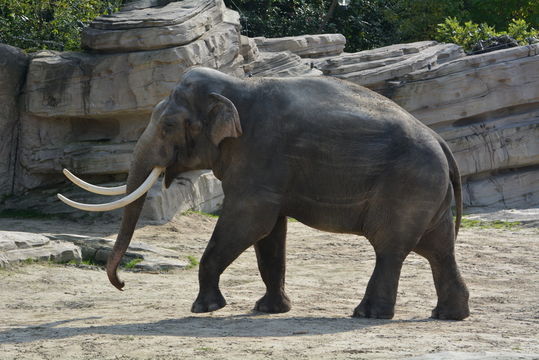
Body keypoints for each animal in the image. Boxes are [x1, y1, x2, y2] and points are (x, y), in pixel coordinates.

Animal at [59, 66, 470, 320]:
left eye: (169, 126)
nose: (122, 284)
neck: (236, 85)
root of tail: (441, 141)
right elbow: (269, 233)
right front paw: (269, 309)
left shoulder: (259, 154)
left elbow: (249, 221)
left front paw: (204, 308)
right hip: (428, 192)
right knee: (438, 249)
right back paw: (447, 315)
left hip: (406, 187)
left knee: (390, 248)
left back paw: (367, 314)